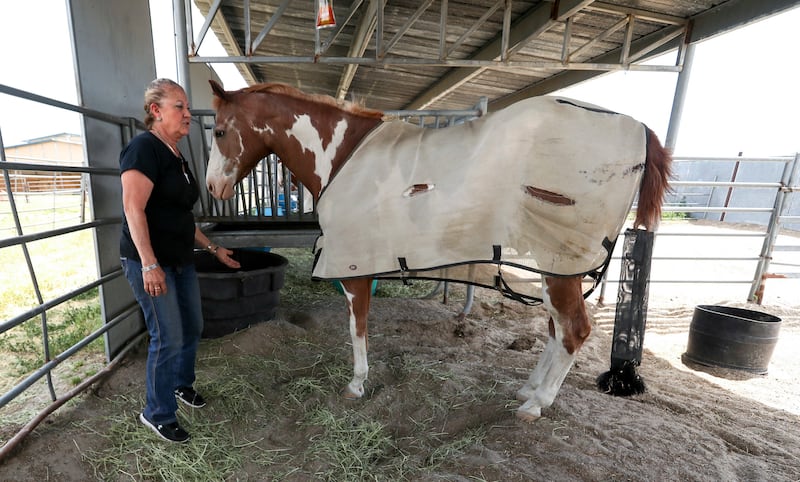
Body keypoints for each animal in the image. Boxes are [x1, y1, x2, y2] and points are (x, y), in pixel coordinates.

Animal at [205, 79, 671, 421]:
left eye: (220, 130)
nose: (212, 187)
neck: (342, 156)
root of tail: (639, 129)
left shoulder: (354, 269)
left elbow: (357, 330)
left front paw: (356, 384)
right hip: (556, 267)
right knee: (558, 331)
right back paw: (529, 389)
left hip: (560, 265)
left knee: (573, 331)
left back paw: (535, 405)